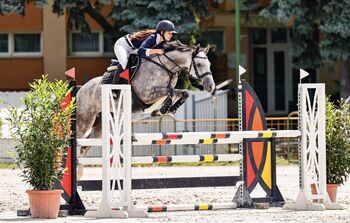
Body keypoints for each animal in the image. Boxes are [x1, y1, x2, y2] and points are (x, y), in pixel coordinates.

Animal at [75, 40, 215, 159]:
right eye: (199, 64)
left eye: (209, 64)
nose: (211, 86)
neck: (166, 67)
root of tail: (80, 90)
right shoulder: (147, 95)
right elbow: (170, 92)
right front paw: (165, 108)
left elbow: (182, 93)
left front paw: (167, 108)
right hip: (85, 121)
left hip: (103, 124)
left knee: (85, 147)